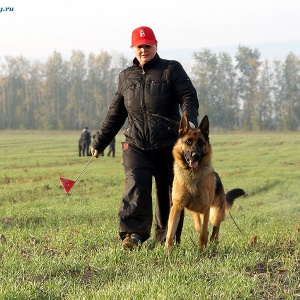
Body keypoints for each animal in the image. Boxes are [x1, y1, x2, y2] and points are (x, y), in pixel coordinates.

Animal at [165, 115, 245, 253]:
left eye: (201, 143)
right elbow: (170, 233)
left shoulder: (206, 208)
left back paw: (213, 240)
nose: (195, 156)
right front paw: (167, 252)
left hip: (215, 213)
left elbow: (203, 233)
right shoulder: (176, 207)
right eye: (188, 142)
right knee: (200, 225)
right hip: (195, 212)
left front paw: (201, 250)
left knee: (215, 227)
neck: (192, 174)